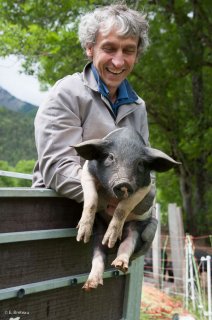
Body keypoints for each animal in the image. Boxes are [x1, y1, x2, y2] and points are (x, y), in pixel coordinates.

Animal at [73, 127, 180, 290]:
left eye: (140, 163)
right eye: (111, 157)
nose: (124, 183)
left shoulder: (144, 187)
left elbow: (122, 208)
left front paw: (113, 234)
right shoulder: (87, 172)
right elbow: (92, 199)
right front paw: (81, 234)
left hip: (136, 227)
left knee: (128, 243)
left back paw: (118, 260)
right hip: (99, 229)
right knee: (99, 252)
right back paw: (90, 284)